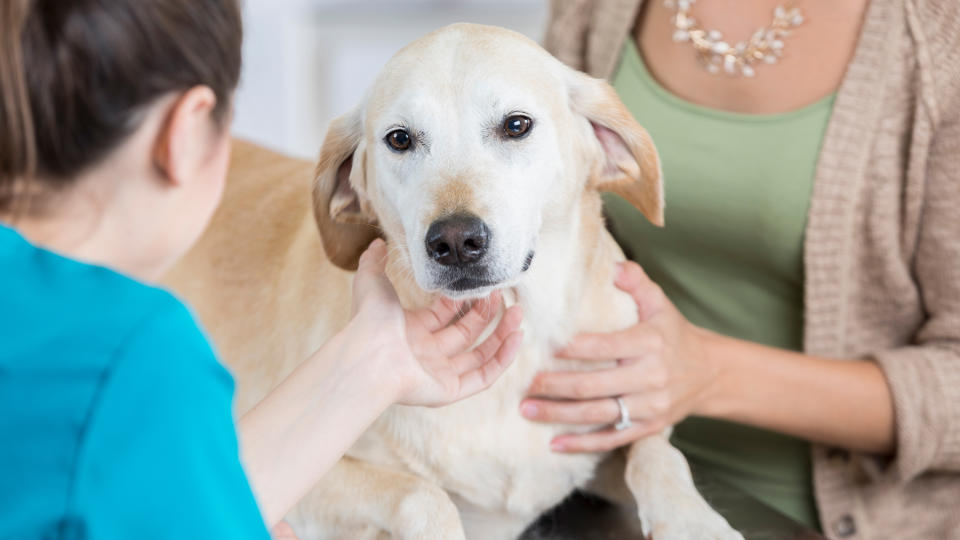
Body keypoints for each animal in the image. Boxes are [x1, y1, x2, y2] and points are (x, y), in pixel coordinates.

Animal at [163, 22, 744, 540]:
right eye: (399, 139)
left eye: (516, 125)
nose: (456, 241)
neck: (518, 338)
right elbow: (424, 496)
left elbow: (658, 453)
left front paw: (694, 522)